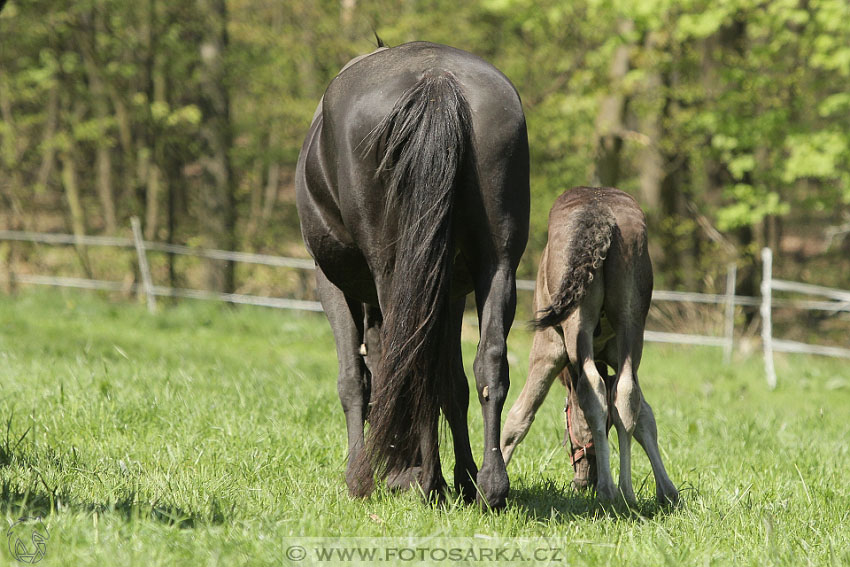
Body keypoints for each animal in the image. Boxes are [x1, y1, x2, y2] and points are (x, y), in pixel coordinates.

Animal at [294, 42, 528, 508]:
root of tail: (437, 81)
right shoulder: (452, 292)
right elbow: (453, 384)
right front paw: (464, 476)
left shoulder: (328, 283)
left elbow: (355, 377)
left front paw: (363, 476)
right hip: (497, 265)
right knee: (488, 359)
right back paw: (489, 485)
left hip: (390, 269)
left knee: (406, 357)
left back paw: (420, 480)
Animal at [500, 186, 680, 506]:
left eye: (567, 425)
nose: (584, 482)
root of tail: (600, 212)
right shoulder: (619, 355)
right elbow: (643, 416)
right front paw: (667, 491)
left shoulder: (548, 350)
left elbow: (520, 415)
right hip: (631, 324)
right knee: (625, 393)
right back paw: (626, 492)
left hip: (576, 325)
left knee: (593, 389)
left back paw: (609, 490)